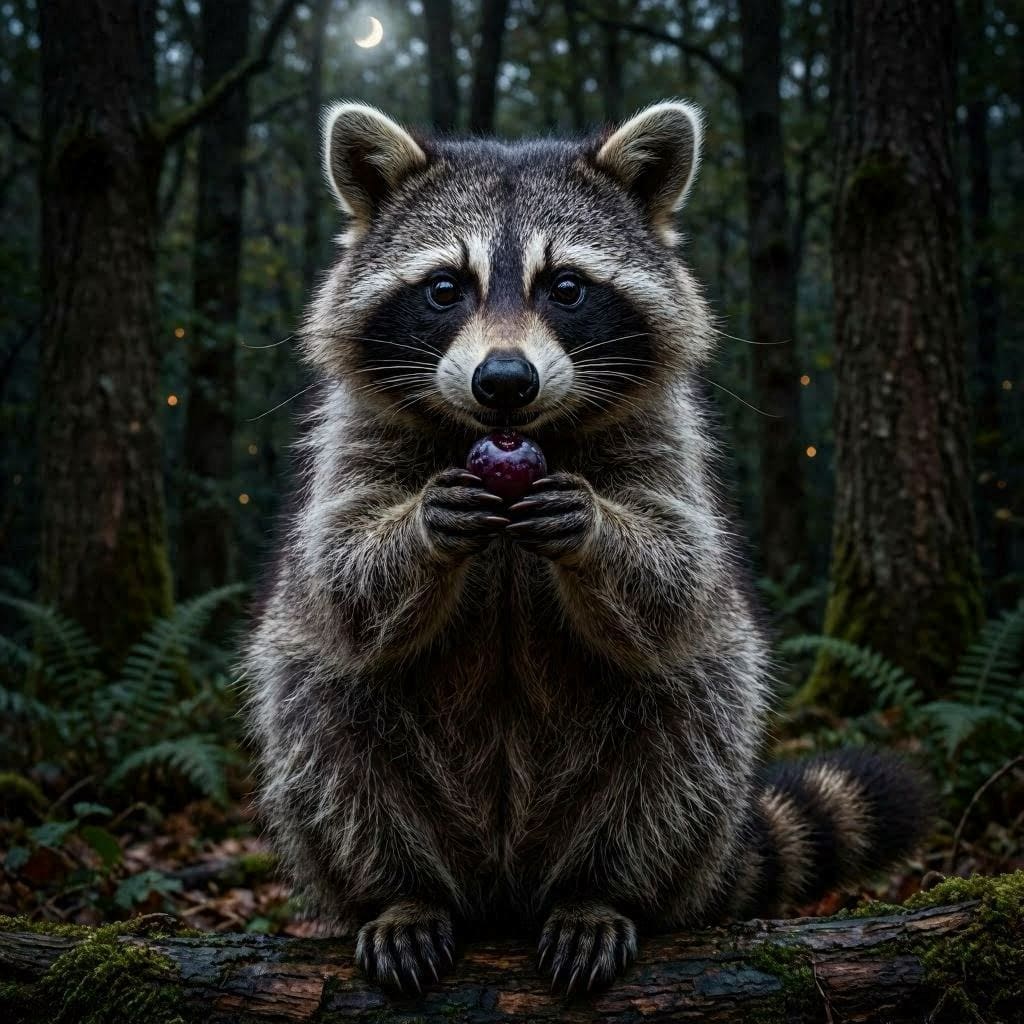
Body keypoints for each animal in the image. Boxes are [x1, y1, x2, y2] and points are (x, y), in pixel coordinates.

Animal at [244, 101, 932, 994]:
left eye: (565, 288)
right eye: (445, 288)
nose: (505, 381)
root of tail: (503, 886)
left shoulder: (663, 434)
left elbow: (679, 571)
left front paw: (597, 527)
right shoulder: (355, 435)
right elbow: (339, 574)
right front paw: (422, 526)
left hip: (673, 770)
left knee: (690, 716)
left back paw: (600, 891)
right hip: (343, 757)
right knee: (321, 714)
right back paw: (400, 892)